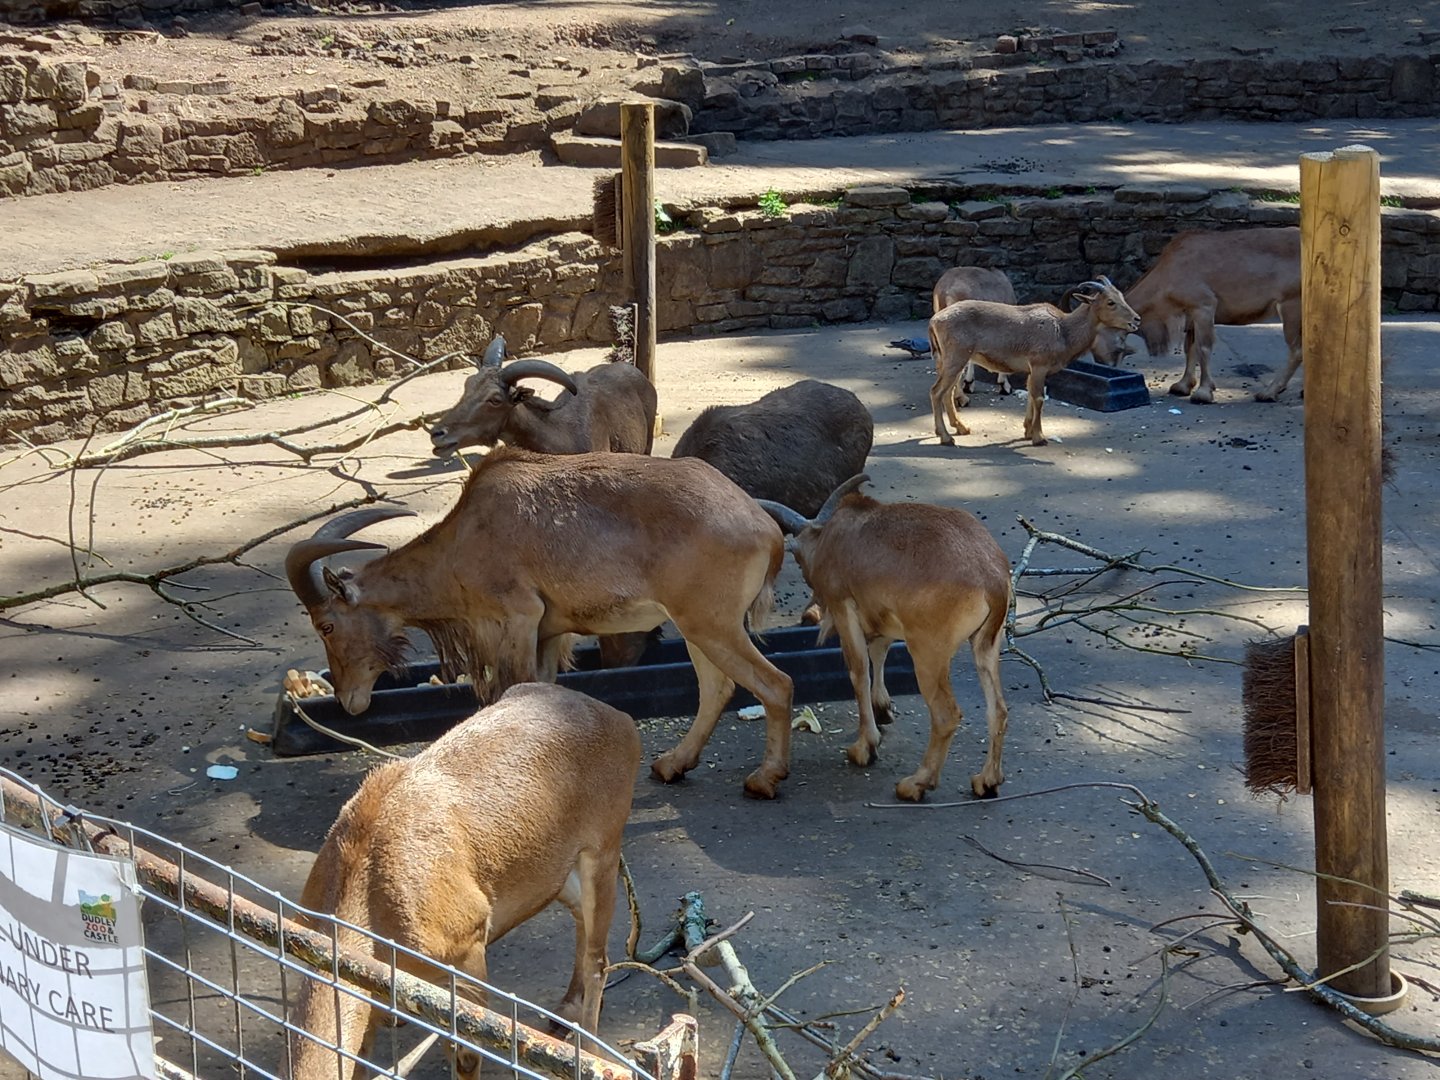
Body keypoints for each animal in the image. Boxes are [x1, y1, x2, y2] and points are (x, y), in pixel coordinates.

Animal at [282, 682, 640, 1080]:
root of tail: (622, 721)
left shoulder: (467, 945)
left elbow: (467, 1051)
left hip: (603, 849)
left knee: (598, 960)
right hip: (559, 871)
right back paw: (563, 1014)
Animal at [285, 448, 798, 799]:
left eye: (326, 626)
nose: (348, 701)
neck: (463, 541)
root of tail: (766, 530)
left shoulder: (518, 619)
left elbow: (513, 690)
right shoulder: (548, 633)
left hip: (712, 624)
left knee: (776, 684)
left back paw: (764, 779)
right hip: (695, 627)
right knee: (717, 688)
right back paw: (672, 764)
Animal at [756, 475, 1012, 802]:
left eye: (799, 560)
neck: (831, 538)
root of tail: (991, 579)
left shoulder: (845, 608)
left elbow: (858, 670)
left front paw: (865, 747)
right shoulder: (883, 619)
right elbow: (878, 654)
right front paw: (883, 710)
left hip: (928, 651)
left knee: (945, 714)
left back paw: (916, 783)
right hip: (987, 644)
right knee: (998, 710)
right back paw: (987, 780)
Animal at [928, 276, 1140, 447]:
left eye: (1121, 297)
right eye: (1111, 302)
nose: (1136, 320)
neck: (1063, 330)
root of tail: (934, 320)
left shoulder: (1032, 370)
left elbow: (1030, 395)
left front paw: (1027, 431)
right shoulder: (1039, 366)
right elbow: (1038, 398)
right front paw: (1039, 437)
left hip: (950, 361)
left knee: (947, 393)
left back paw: (962, 428)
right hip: (956, 359)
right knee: (937, 392)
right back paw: (946, 437)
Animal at [1088, 227, 1302, 403]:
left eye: (1094, 337)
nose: (1105, 367)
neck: (1169, 271)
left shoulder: (1203, 307)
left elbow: (1203, 347)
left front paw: (1203, 393)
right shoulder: (1190, 315)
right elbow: (1189, 347)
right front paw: (1182, 386)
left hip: (1291, 306)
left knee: (1296, 351)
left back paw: (1269, 392)